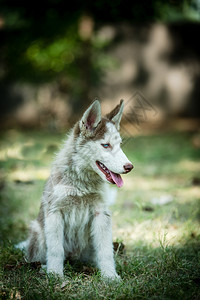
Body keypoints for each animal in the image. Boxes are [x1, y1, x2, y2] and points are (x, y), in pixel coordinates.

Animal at [16, 100, 133, 278]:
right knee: (35, 258)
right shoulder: (55, 212)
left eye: (119, 145)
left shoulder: (101, 213)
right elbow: (56, 250)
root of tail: (73, 257)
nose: (129, 167)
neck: (82, 181)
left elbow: (105, 251)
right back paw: (43, 267)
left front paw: (110, 276)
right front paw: (55, 275)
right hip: (39, 233)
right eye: (106, 145)